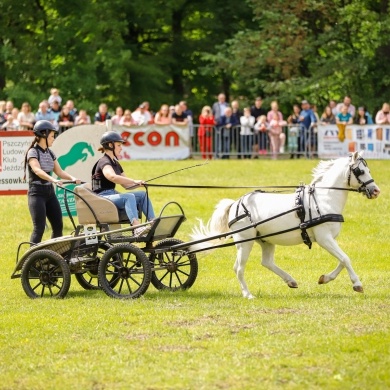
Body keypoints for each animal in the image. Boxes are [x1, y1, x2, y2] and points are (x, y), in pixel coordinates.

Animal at [192, 152, 380, 298]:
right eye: (360, 171)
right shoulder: (324, 238)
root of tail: (236, 203)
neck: (323, 199)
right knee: (238, 267)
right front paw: (357, 284)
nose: (376, 191)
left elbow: (342, 259)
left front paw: (324, 278)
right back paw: (248, 294)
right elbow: (345, 258)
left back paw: (290, 280)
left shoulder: (329, 240)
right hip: (244, 241)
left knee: (266, 262)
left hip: (265, 240)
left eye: (368, 170)